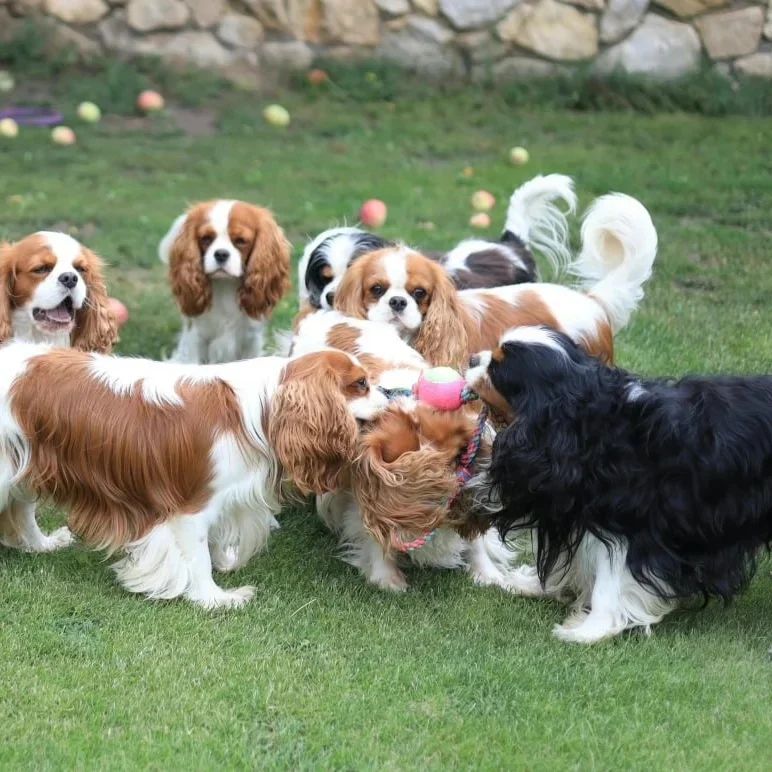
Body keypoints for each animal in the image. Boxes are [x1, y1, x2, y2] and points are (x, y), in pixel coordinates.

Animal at [0, 346, 382, 608]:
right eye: (361, 384)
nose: (391, 392)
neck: (262, 408)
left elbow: (214, 543)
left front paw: (223, 565)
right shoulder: (191, 507)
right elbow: (198, 556)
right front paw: (214, 598)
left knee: (22, 511)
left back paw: (41, 544)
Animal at [158, 202, 292, 364]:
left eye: (240, 241)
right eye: (206, 239)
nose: (221, 254)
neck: (225, 285)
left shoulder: (251, 341)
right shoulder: (195, 339)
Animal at [464, 326, 772, 644]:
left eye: (497, 369)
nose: (472, 358)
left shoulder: (632, 524)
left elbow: (609, 582)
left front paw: (590, 629)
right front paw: (532, 584)